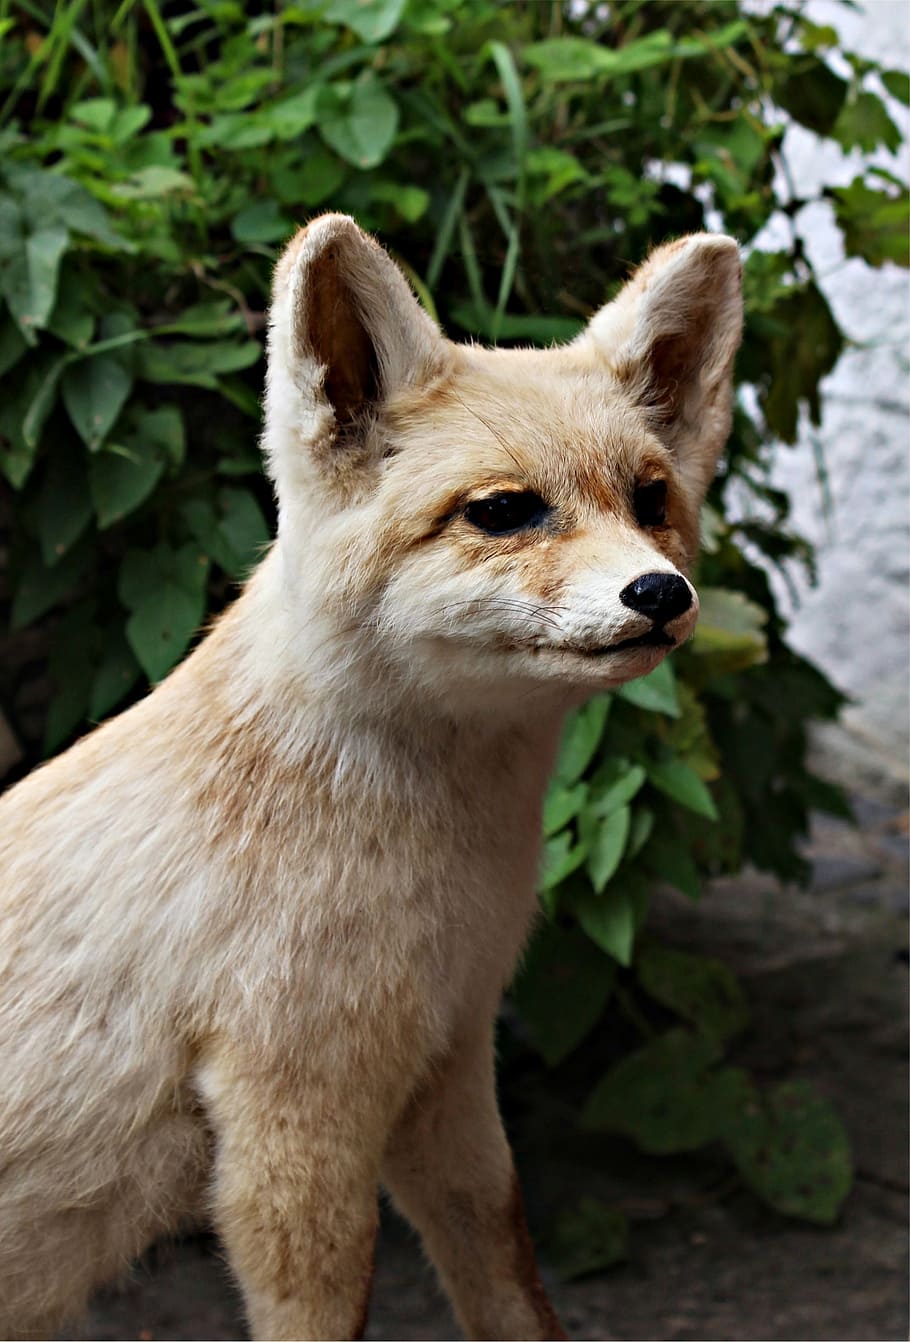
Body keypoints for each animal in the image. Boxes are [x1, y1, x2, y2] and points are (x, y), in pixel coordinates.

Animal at [0, 213, 742, 1341]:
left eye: (650, 501)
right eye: (505, 511)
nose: (659, 593)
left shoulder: (448, 1072)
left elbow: (511, 1281)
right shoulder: (294, 1119)